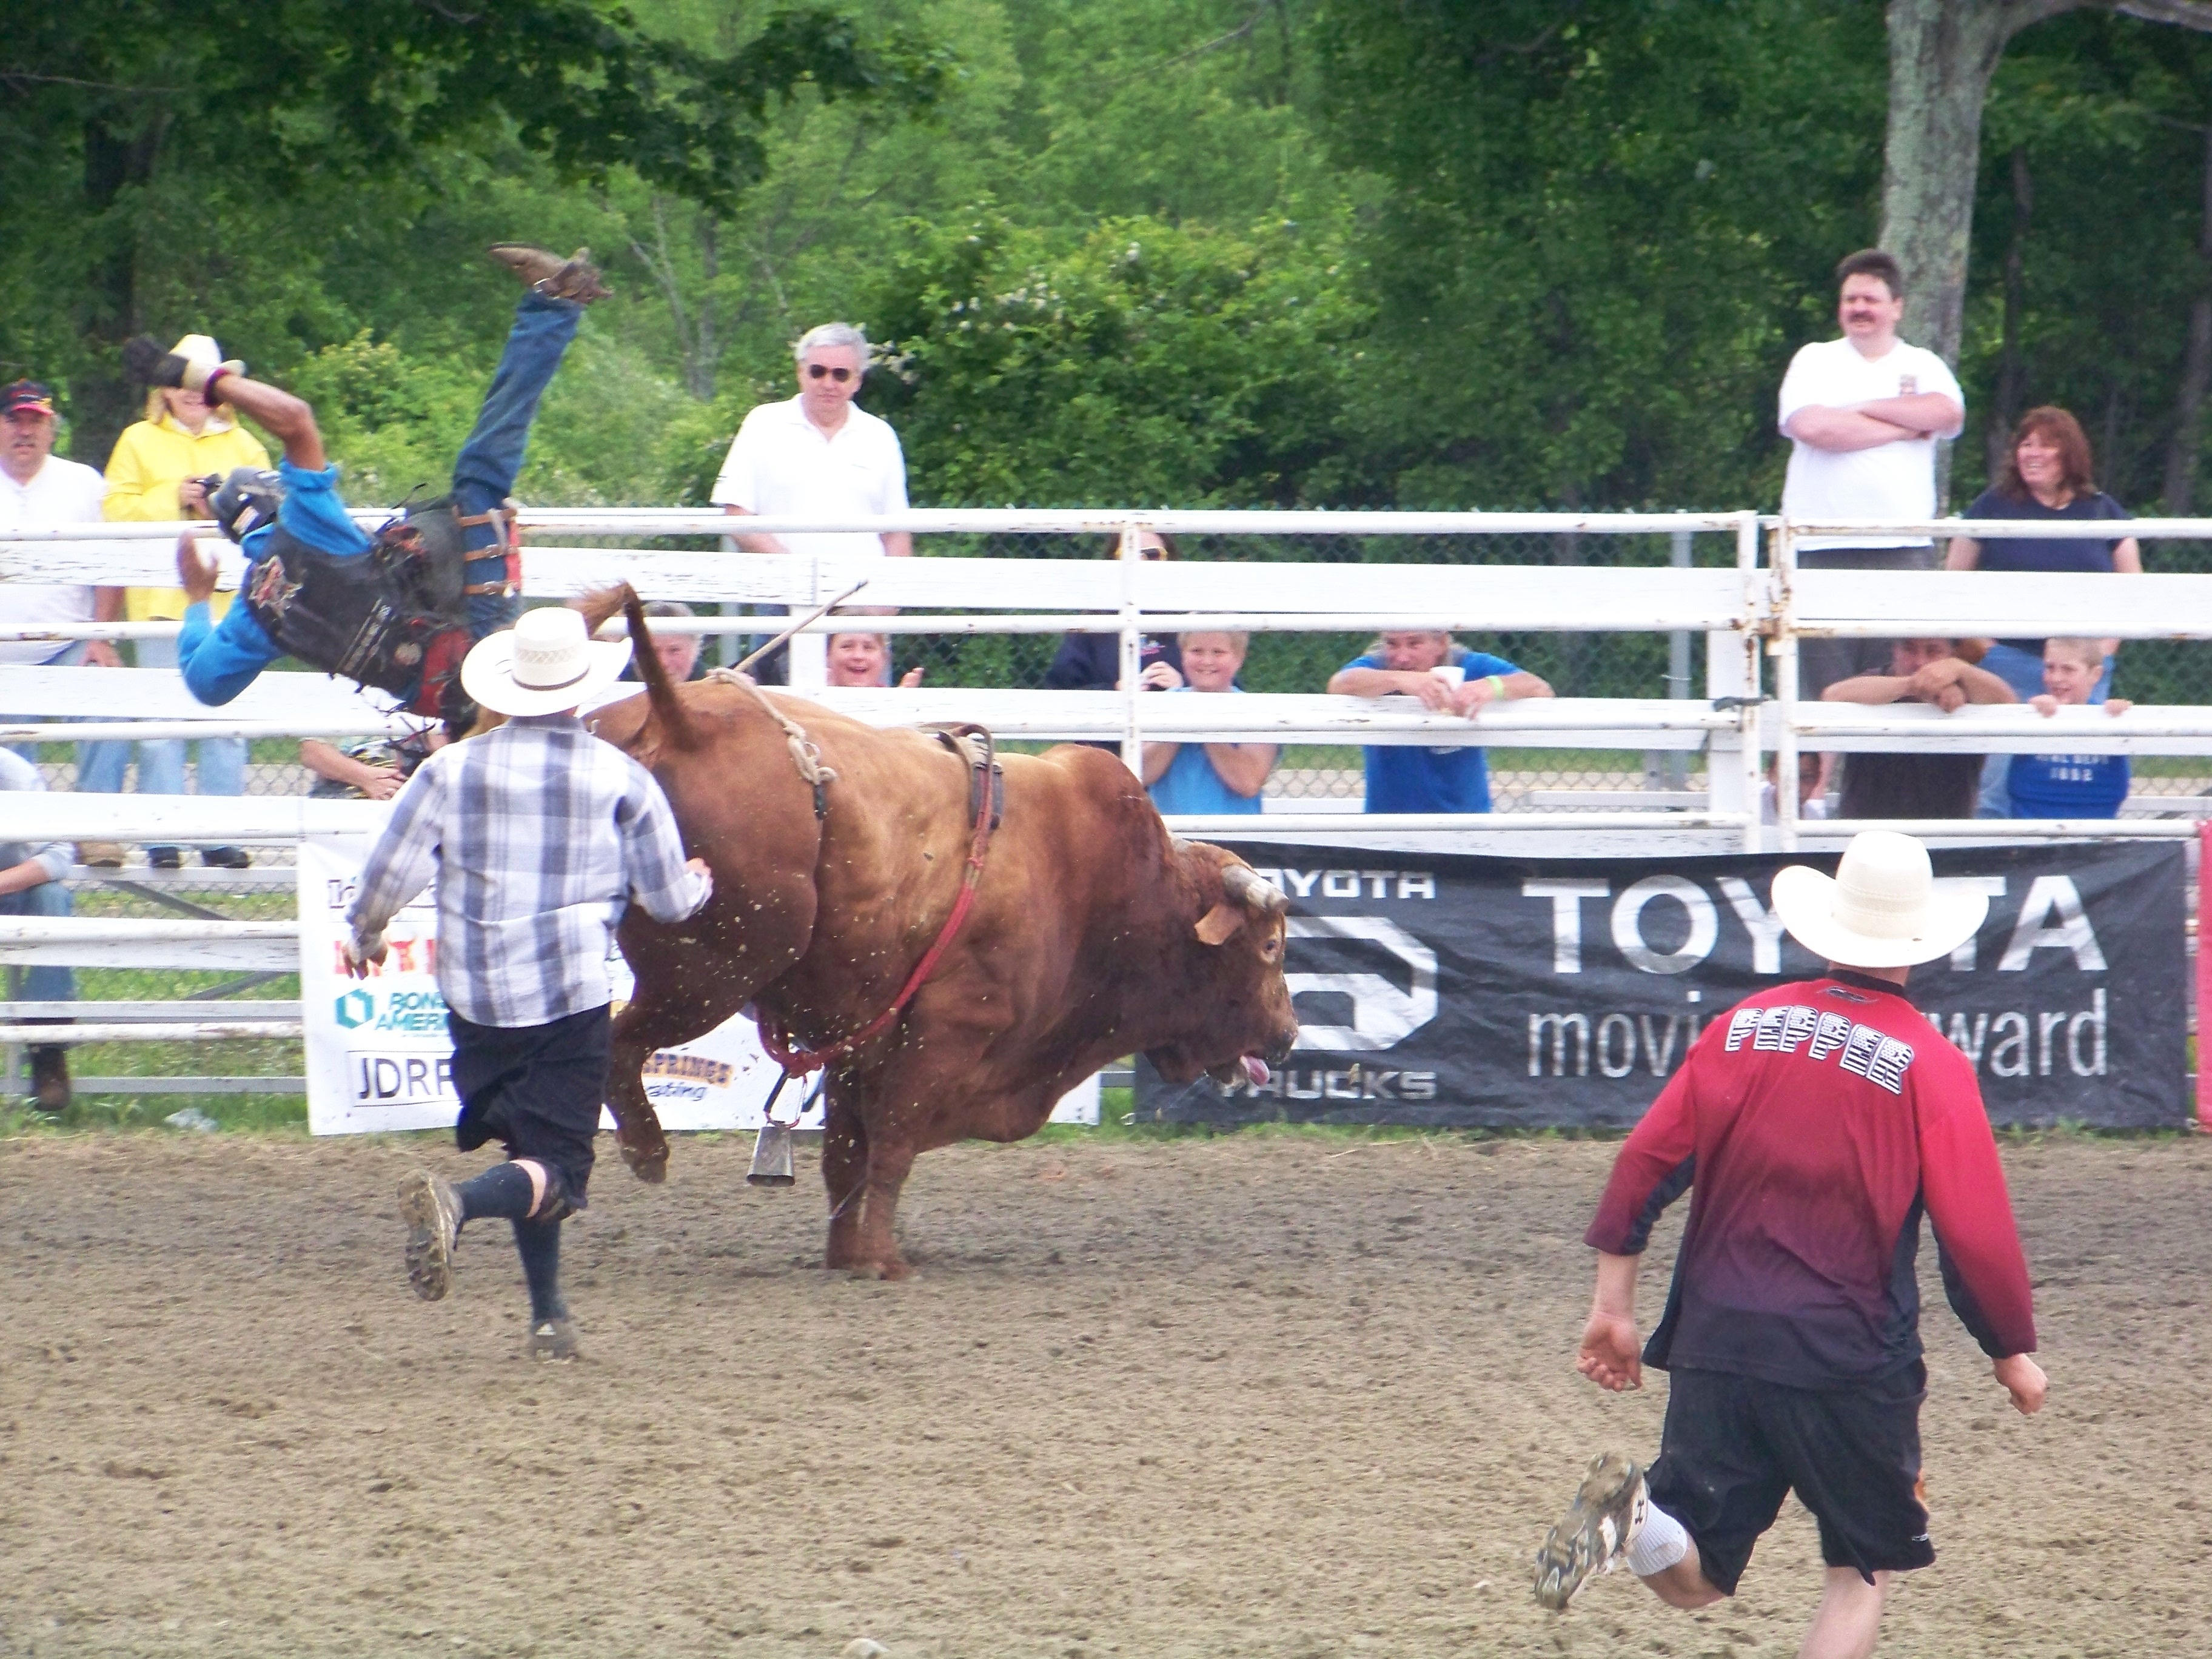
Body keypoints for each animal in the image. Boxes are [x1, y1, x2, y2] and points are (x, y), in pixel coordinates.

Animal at [575, 592, 1292, 1282]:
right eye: (1269, 947)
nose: (1287, 1037)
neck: (1095, 880)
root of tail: (680, 719)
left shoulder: (857, 1043)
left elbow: (848, 1154)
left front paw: (846, 1252)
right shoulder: (947, 1033)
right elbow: (892, 1147)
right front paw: (883, 1260)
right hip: (711, 972)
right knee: (620, 1040)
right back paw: (646, 1148)